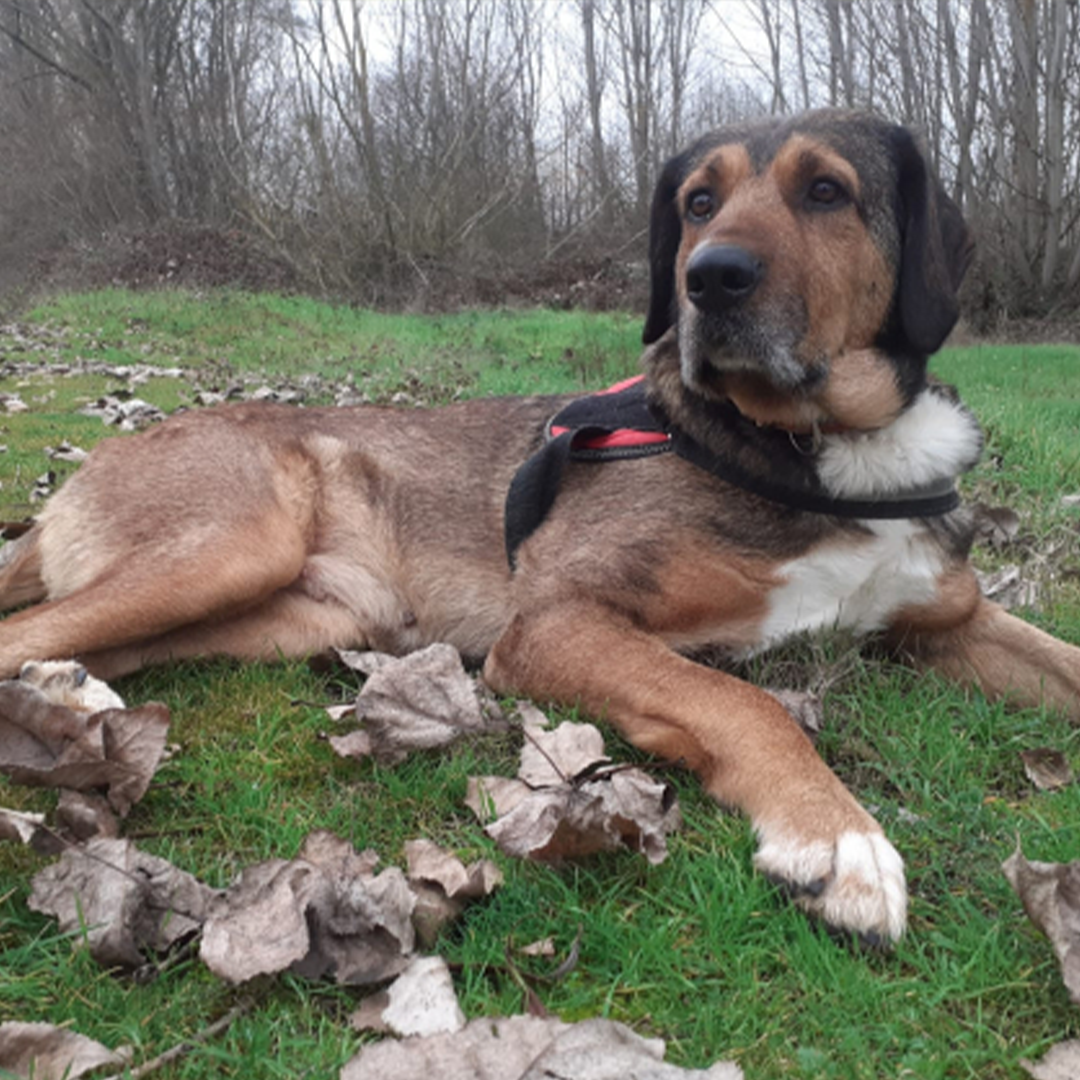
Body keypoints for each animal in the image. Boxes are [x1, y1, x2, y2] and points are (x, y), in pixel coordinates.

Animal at [2, 109, 1080, 946]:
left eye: (827, 191)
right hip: (233, 545)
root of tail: (85, 470)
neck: (821, 450)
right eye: (698, 202)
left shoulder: (951, 618)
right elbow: (745, 703)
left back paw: (67, 697)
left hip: (297, 614)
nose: (711, 278)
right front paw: (833, 837)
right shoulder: (557, 622)